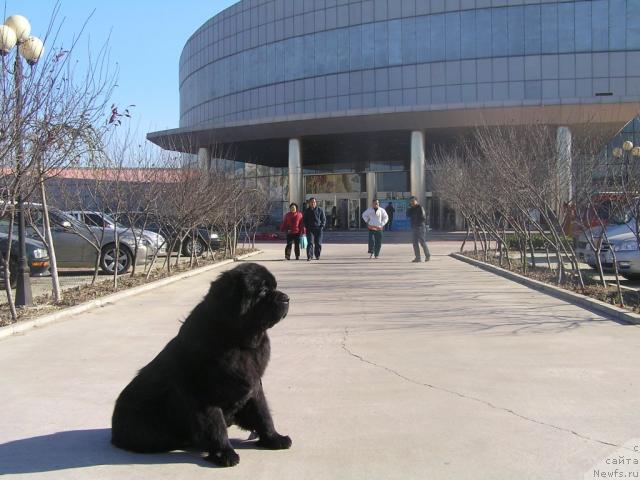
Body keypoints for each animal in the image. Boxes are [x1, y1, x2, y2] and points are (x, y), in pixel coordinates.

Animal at [111, 260, 292, 466]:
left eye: (275, 287)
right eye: (263, 290)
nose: (287, 298)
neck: (238, 342)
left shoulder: (254, 385)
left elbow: (263, 414)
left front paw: (274, 438)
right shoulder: (204, 395)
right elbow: (215, 426)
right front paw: (225, 454)